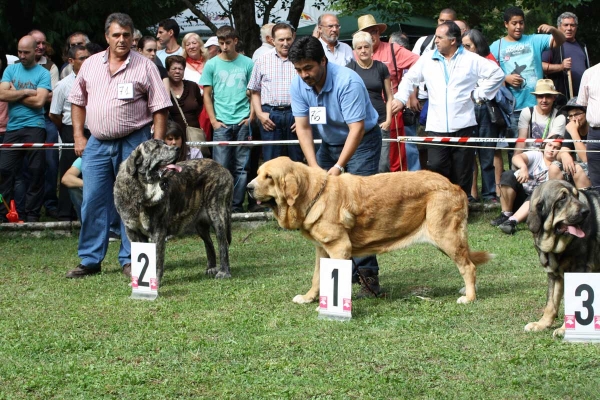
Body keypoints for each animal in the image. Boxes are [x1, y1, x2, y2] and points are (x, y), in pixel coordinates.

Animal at [113, 141, 233, 284]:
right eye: (157, 147)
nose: (177, 148)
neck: (142, 188)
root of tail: (221, 167)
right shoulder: (132, 232)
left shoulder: (158, 232)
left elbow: (157, 259)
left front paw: (155, 281)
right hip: (200, 225)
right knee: (209, 243)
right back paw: (211, 268)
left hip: (217, 213)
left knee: (222, 244)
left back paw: (224, 272)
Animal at [528, 181, 596, 338]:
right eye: (562, 198)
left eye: (576, 195)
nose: (586, 211)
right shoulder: (554, 274)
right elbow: (550, 303)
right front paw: (542, 324)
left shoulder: (579, 271)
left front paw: (566, 329)